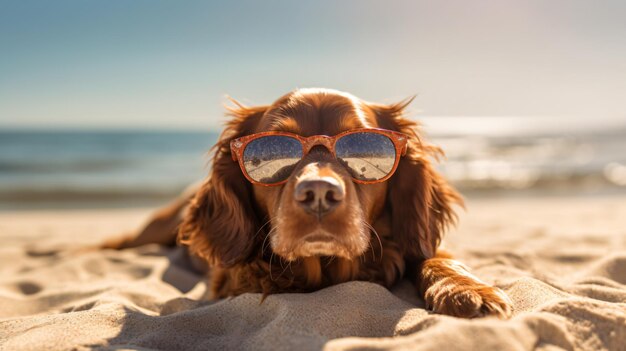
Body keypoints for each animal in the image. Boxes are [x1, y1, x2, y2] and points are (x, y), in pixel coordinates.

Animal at [103, 87, 512, 320]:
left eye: (364, 145)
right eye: (273, 149)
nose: (318, 193)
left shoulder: (419, 241)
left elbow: (436, 257)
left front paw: (467, 289)